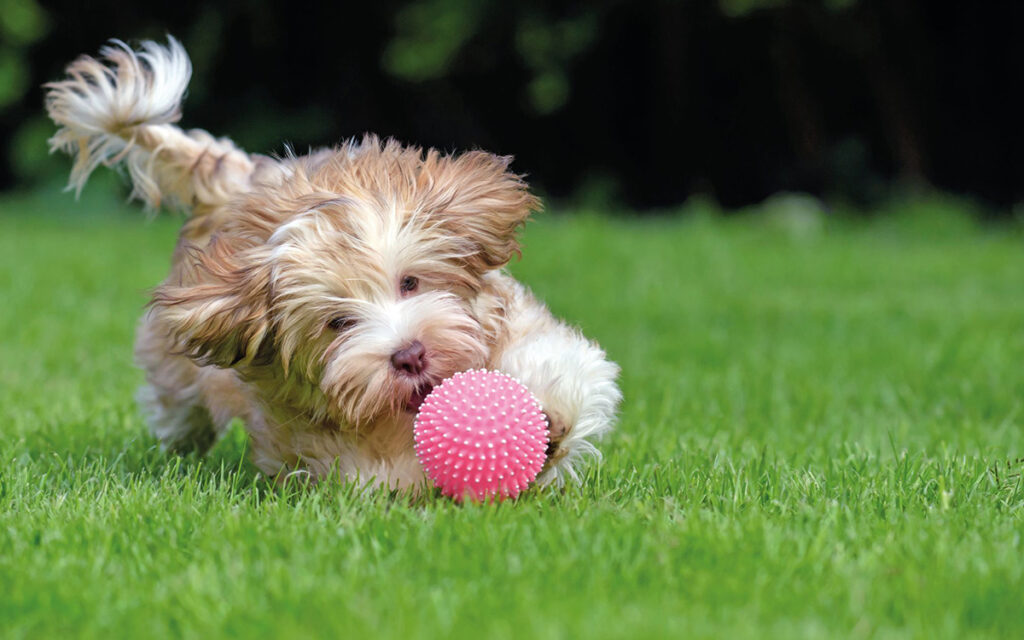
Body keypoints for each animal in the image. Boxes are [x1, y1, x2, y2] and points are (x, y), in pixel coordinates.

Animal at [46, 37, 622, 489]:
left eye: (410, 282)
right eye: (338, 323)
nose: (409, 355)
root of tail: (234, 183)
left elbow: (562, 364)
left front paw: (546, 420)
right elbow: (373, 472)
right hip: (175, 366)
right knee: (178, 404)